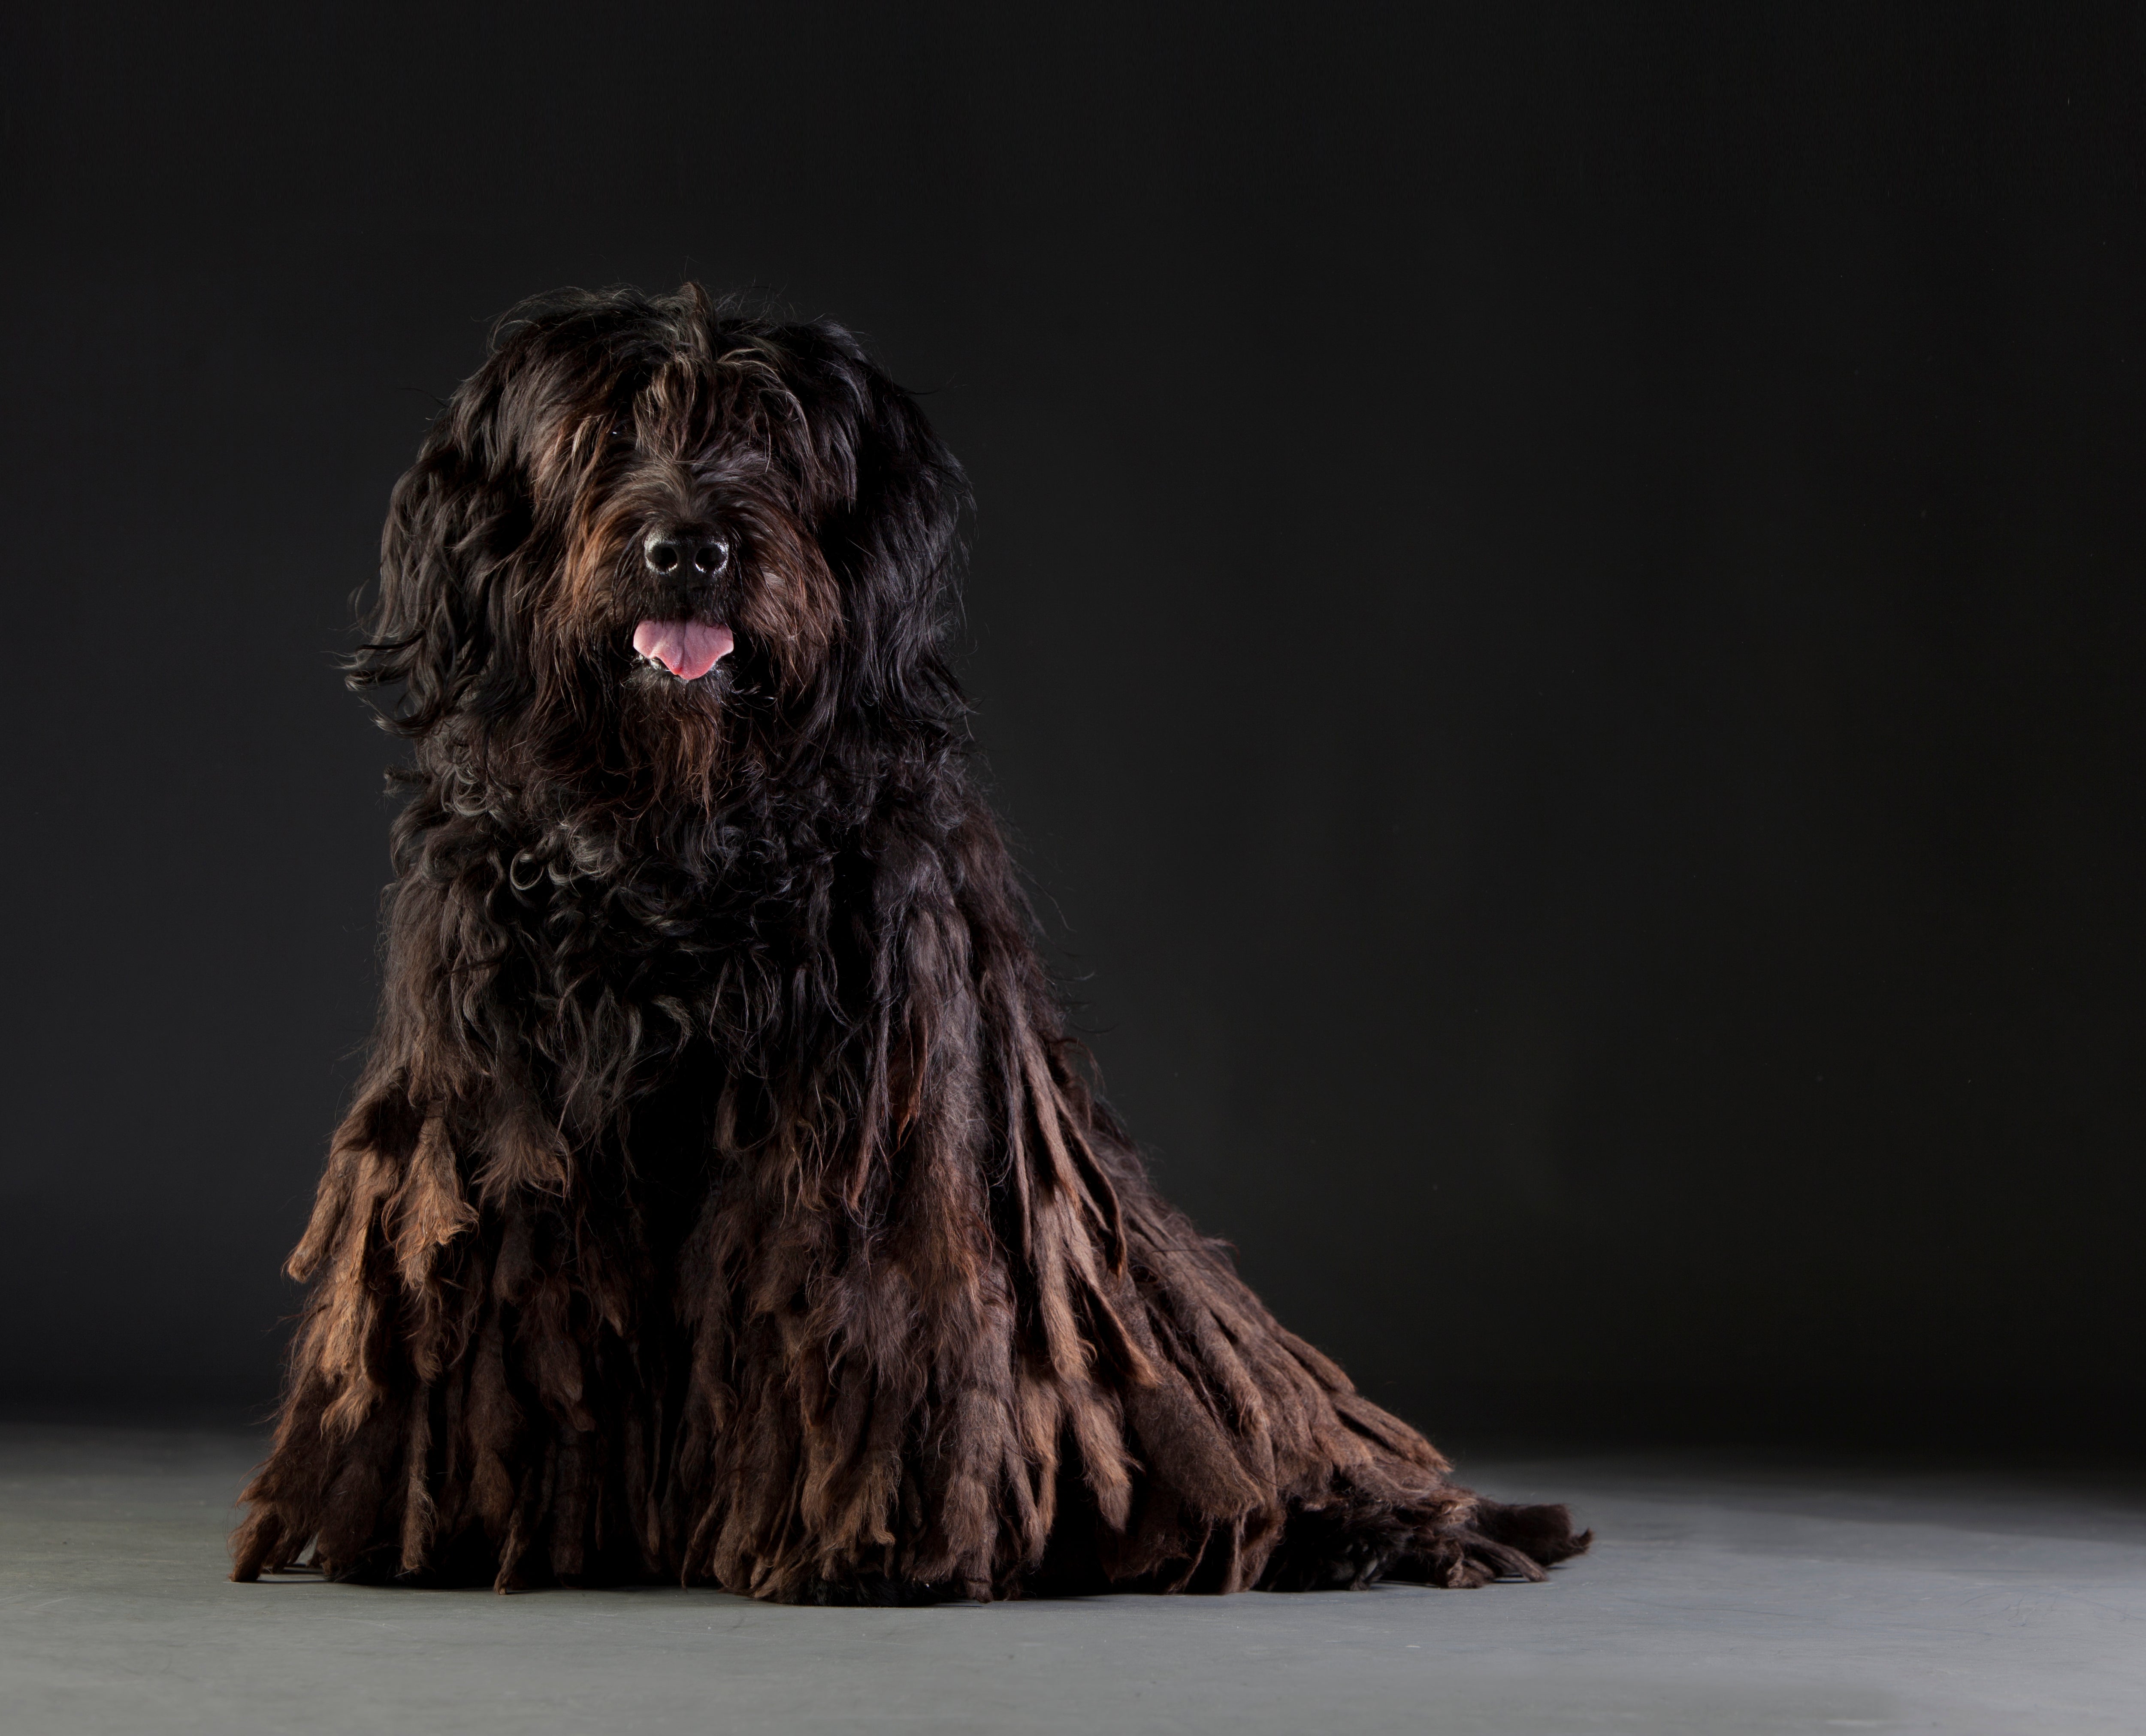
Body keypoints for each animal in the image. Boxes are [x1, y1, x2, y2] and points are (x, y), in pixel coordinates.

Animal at [226, 285, 1588, 1596]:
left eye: (775, 444)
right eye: (603, 434)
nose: (690, 549)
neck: (679, 845)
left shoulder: (876, 1104)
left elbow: (867, 1310)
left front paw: (863, 1547)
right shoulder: (505, 1102)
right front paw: (454, 1528)